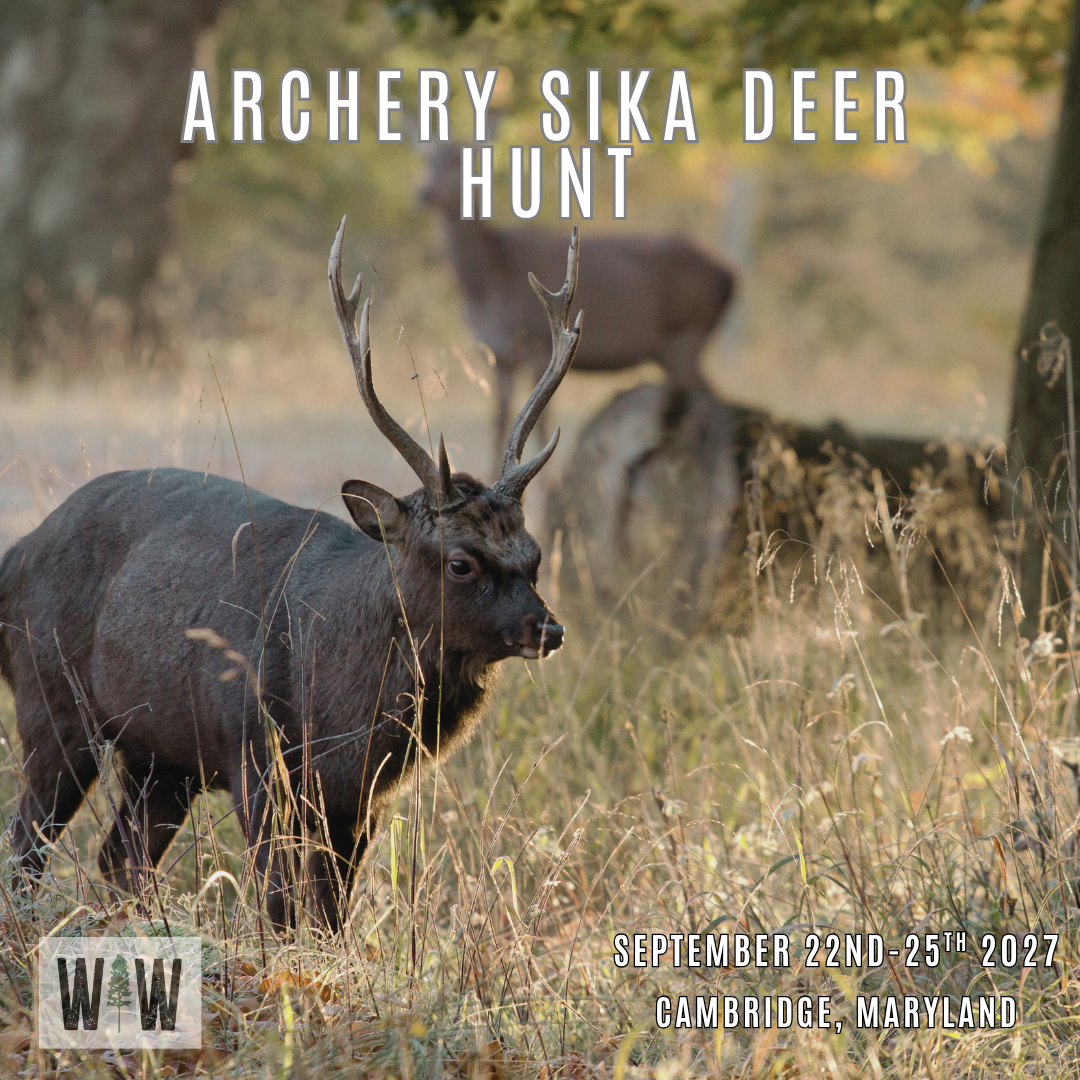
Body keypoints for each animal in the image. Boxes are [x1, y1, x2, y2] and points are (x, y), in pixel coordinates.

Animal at [0, 220, 581, 933]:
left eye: (533, 554)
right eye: (460, 561)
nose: (547, 628)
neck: (336, 701)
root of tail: (15, 555)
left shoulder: (361, 792)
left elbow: (332, 911)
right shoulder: (255, 757)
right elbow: (279, 903)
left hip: (161, 756)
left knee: (118, 857)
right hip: (51, 702)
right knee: (26, 847)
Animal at [420, 143, 736, 474]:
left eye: (459, 162)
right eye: (427, 160)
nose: (424, 193)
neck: (488, 281)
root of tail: (731, 274)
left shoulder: (534, 343)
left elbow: (541, 424)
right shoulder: (499, 354)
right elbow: (499, 422)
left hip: (687, 335)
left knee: (713, 407)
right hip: (674, 350)